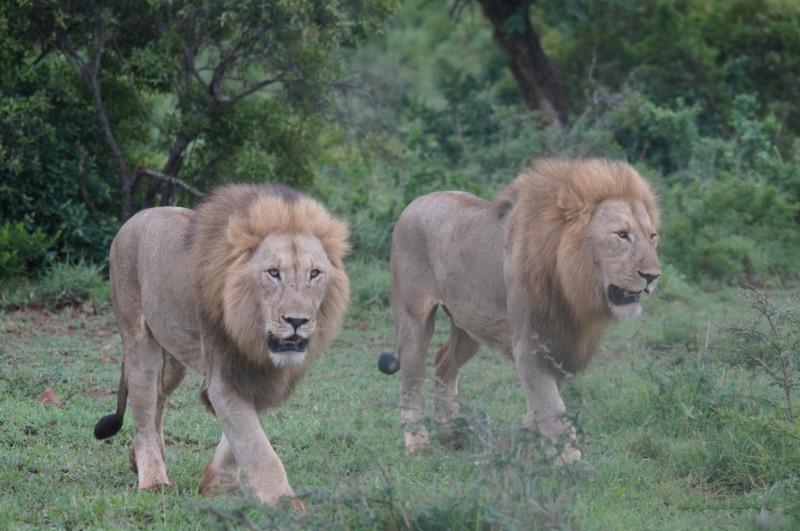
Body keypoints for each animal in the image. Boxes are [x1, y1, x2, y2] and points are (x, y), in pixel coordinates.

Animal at [94, 185, 350, 504]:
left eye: (314, 273)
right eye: (273, 272)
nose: (297, 320)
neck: (252, 333)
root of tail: (133, 220)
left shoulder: (259, 375)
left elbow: (240, 438)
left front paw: (217, 485)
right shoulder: (225, 375)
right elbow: (258, 448)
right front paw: (284, 502)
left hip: (172, 358)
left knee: (158, 399)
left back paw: (140, 459)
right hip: (139, 341)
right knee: (143, 409)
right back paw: (153, 479)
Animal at [378, 158, 660, 462]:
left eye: (652, 236)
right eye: (622, 235)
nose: (653, 276)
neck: (573, 287)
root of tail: (414, 203)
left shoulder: (562, 346)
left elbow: (540, 410)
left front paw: (519, 449)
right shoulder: (529, 347)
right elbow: (553, 411)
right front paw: (571, 463)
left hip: (469, 325)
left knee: (443, 362)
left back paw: (452, 433)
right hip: (414, 320)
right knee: (410, 383)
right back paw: (418, 444)